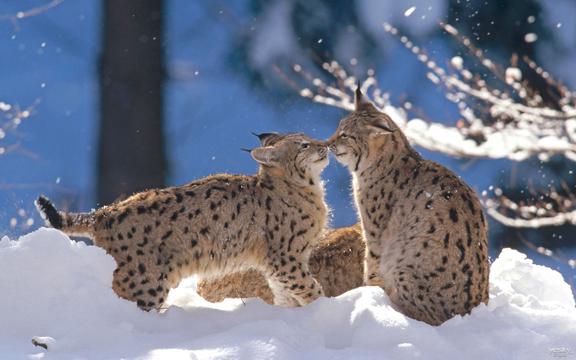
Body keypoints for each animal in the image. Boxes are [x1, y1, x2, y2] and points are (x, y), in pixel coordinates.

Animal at [37, 132, 328, 310]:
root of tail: (105, 212)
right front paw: (326, 309)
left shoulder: (277, 264)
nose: (325, 145)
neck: (304, 186)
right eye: (304, 145)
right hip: (144, 283)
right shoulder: (285, 258)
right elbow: (309, 288)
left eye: (310, 138)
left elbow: (286, 293)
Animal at [326, 88, 488, 324]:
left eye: (345, 135)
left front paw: (369, 293)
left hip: (403, 266)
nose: (328, 143)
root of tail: (471, 309)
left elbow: (372, 264)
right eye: (338, 129)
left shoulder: (375, 233)